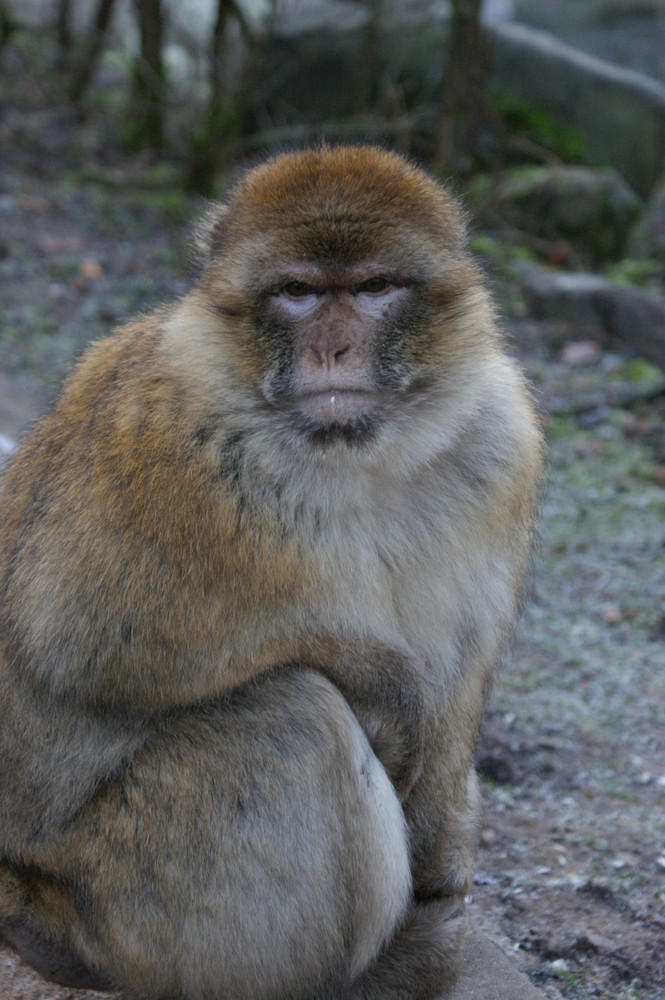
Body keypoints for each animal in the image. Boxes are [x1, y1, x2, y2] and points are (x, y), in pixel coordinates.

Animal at [0, 146, 544, 1000]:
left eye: (374, 287)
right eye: (297, 293)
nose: (333, 349)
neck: (359, 455)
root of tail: (24, 893)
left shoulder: (500, 444)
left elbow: (458, 686)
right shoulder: (170, 448)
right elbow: (81, 642)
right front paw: (387, 686)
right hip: (116, 899)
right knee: (290, 717)